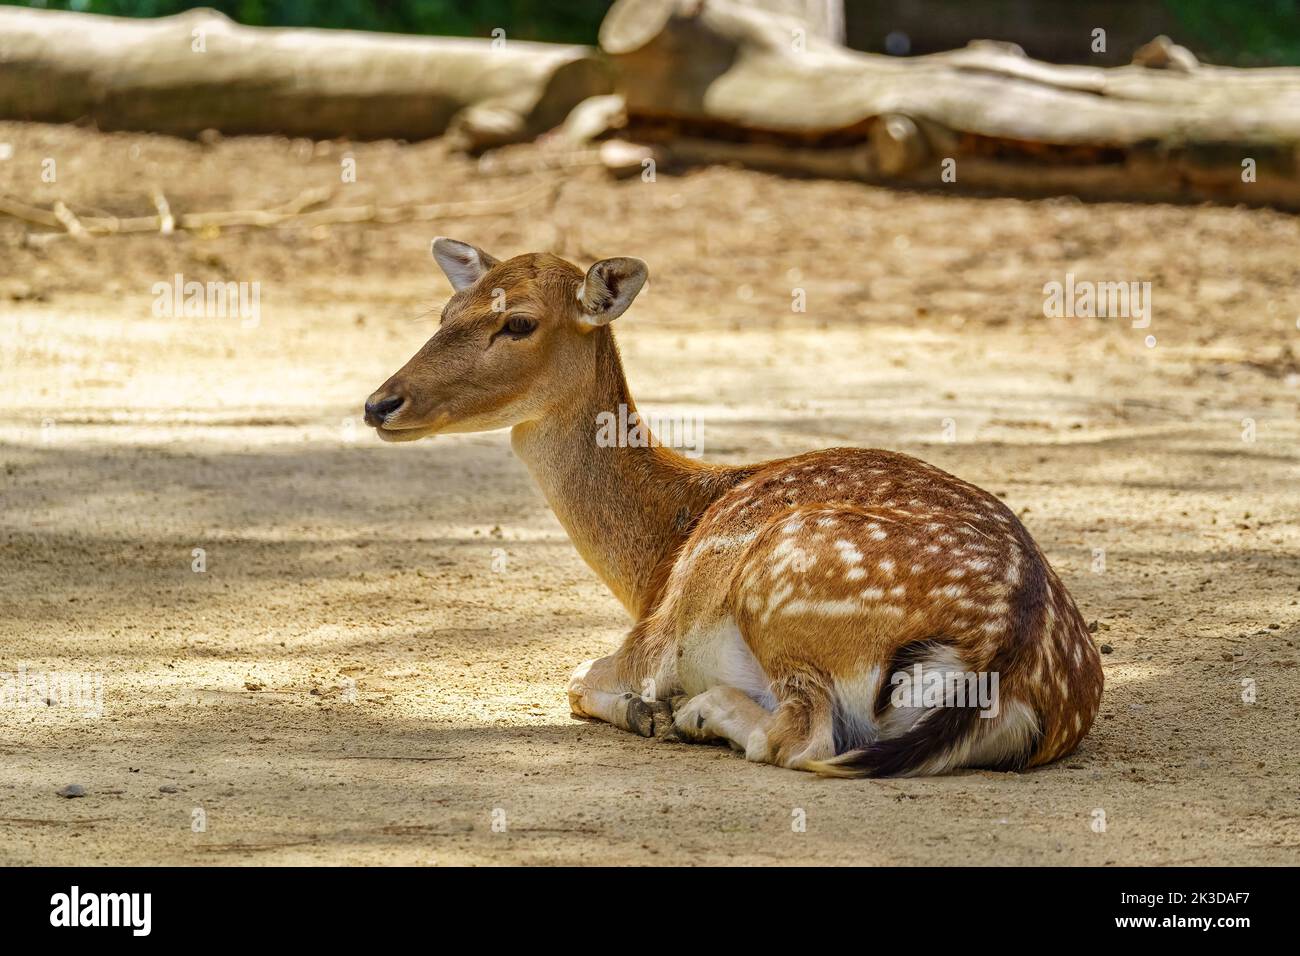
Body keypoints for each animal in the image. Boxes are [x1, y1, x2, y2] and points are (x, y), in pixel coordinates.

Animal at [363, 239, 1104, 777]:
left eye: (518, 322)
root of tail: (1001, 654)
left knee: (800, 739)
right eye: (445, 314)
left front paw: (650, 711)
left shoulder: (649, 638)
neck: (657, 559)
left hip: (781, 584)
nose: (379, 403)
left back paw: (696, 714)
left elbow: (575, 677)